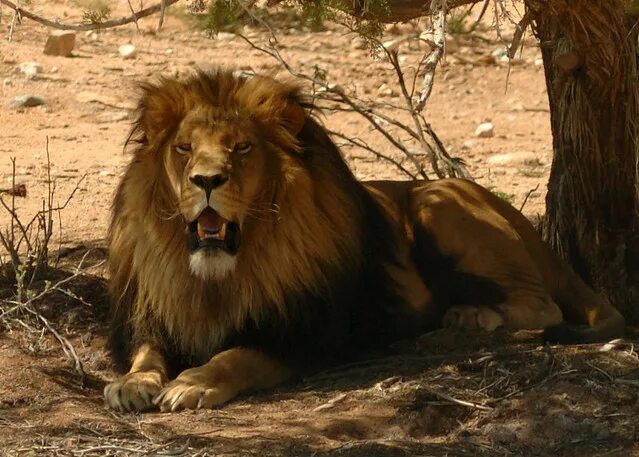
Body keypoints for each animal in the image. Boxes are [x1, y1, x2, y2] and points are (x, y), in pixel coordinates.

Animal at [104, 68, 624, 414]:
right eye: (184, 148)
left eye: (242, 148)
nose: (206, 180)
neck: (216, 277)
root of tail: (526, 224)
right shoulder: (154, 315)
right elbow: (147, 354)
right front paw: (132, 384)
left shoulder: (304, 333)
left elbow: (236, 356)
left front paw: (194, 382)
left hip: (435, 199)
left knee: (544, 307)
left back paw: (467, 318)